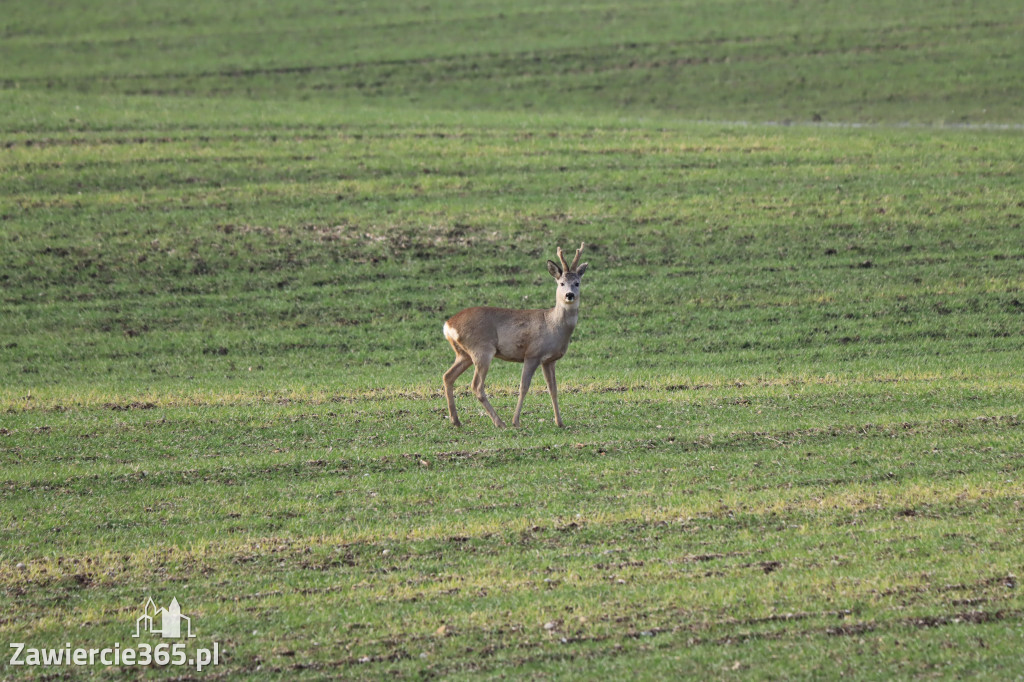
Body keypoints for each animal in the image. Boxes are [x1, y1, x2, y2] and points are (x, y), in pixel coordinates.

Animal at [442, 242, 593, 425]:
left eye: (577, 283)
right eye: (561, 283)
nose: (569, 295)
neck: (554, 326)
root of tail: (448, 325)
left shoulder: (549, 360)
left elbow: (553, 389)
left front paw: (560, 423)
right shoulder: (533, 353)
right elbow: (524, 386)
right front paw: (516, 421)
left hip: (464, 354)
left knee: (448, 376)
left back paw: (456, 420)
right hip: (481, 349)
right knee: (476, 385)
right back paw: (500, 423)